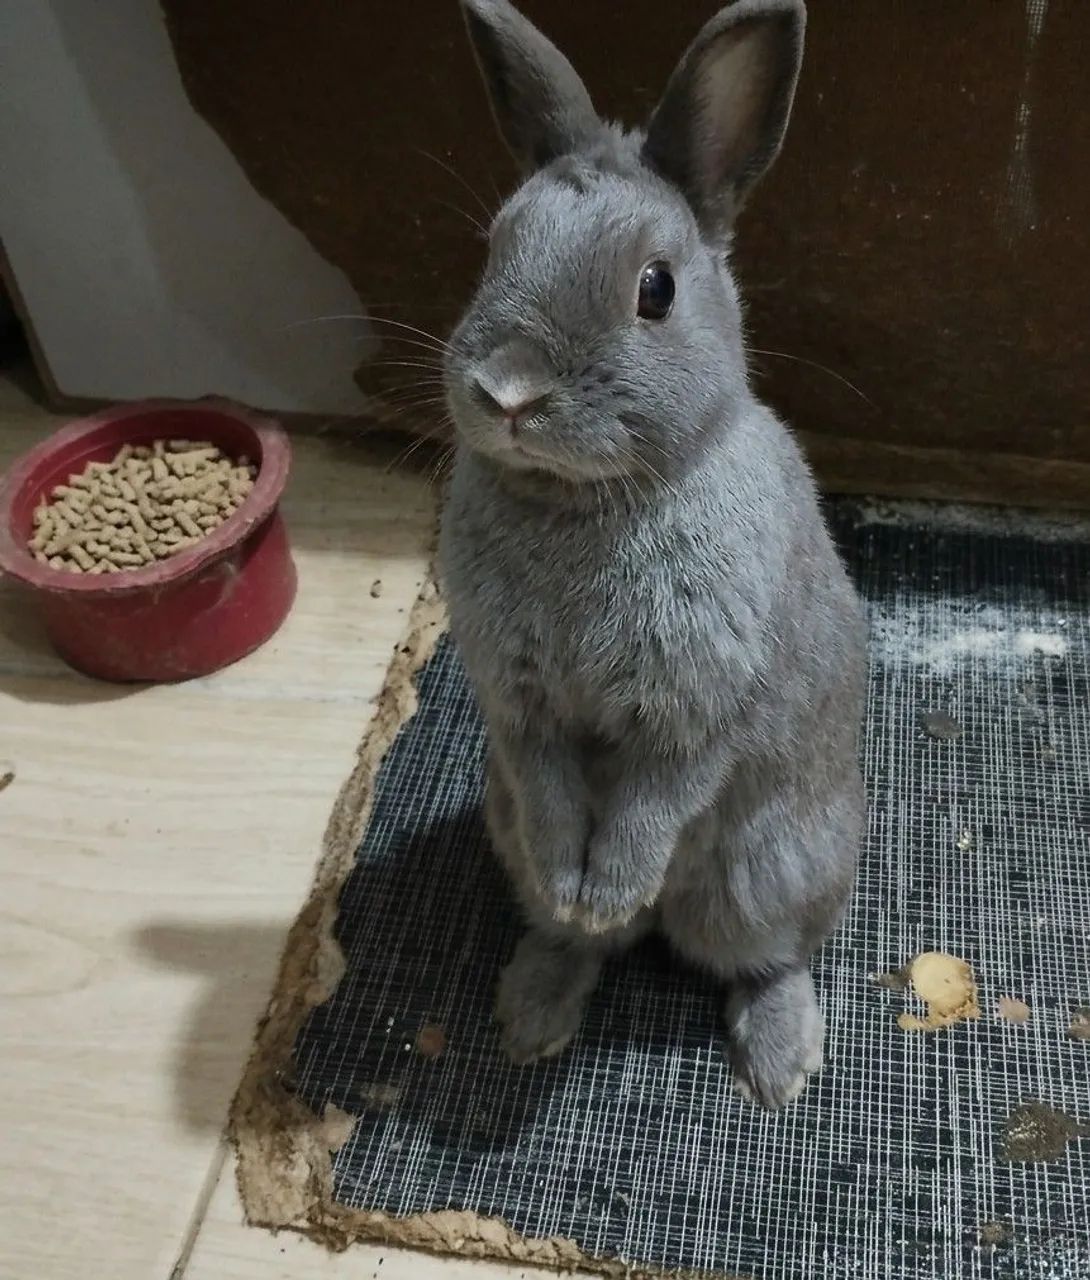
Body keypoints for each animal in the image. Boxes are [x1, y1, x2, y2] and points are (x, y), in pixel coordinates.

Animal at [437, 0, 867, 1109]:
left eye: (656, 289)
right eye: (492, 248)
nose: (506, 392)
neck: (580, 504)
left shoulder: (696, 707)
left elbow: (654, 797)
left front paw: (609, 884)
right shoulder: (520, 706)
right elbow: (552, 790)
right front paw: (575, 889)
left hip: (768, 870)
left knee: (765, 957)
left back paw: (780, 1065)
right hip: (504, 826)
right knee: (580, 939)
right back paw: (535, 1003)